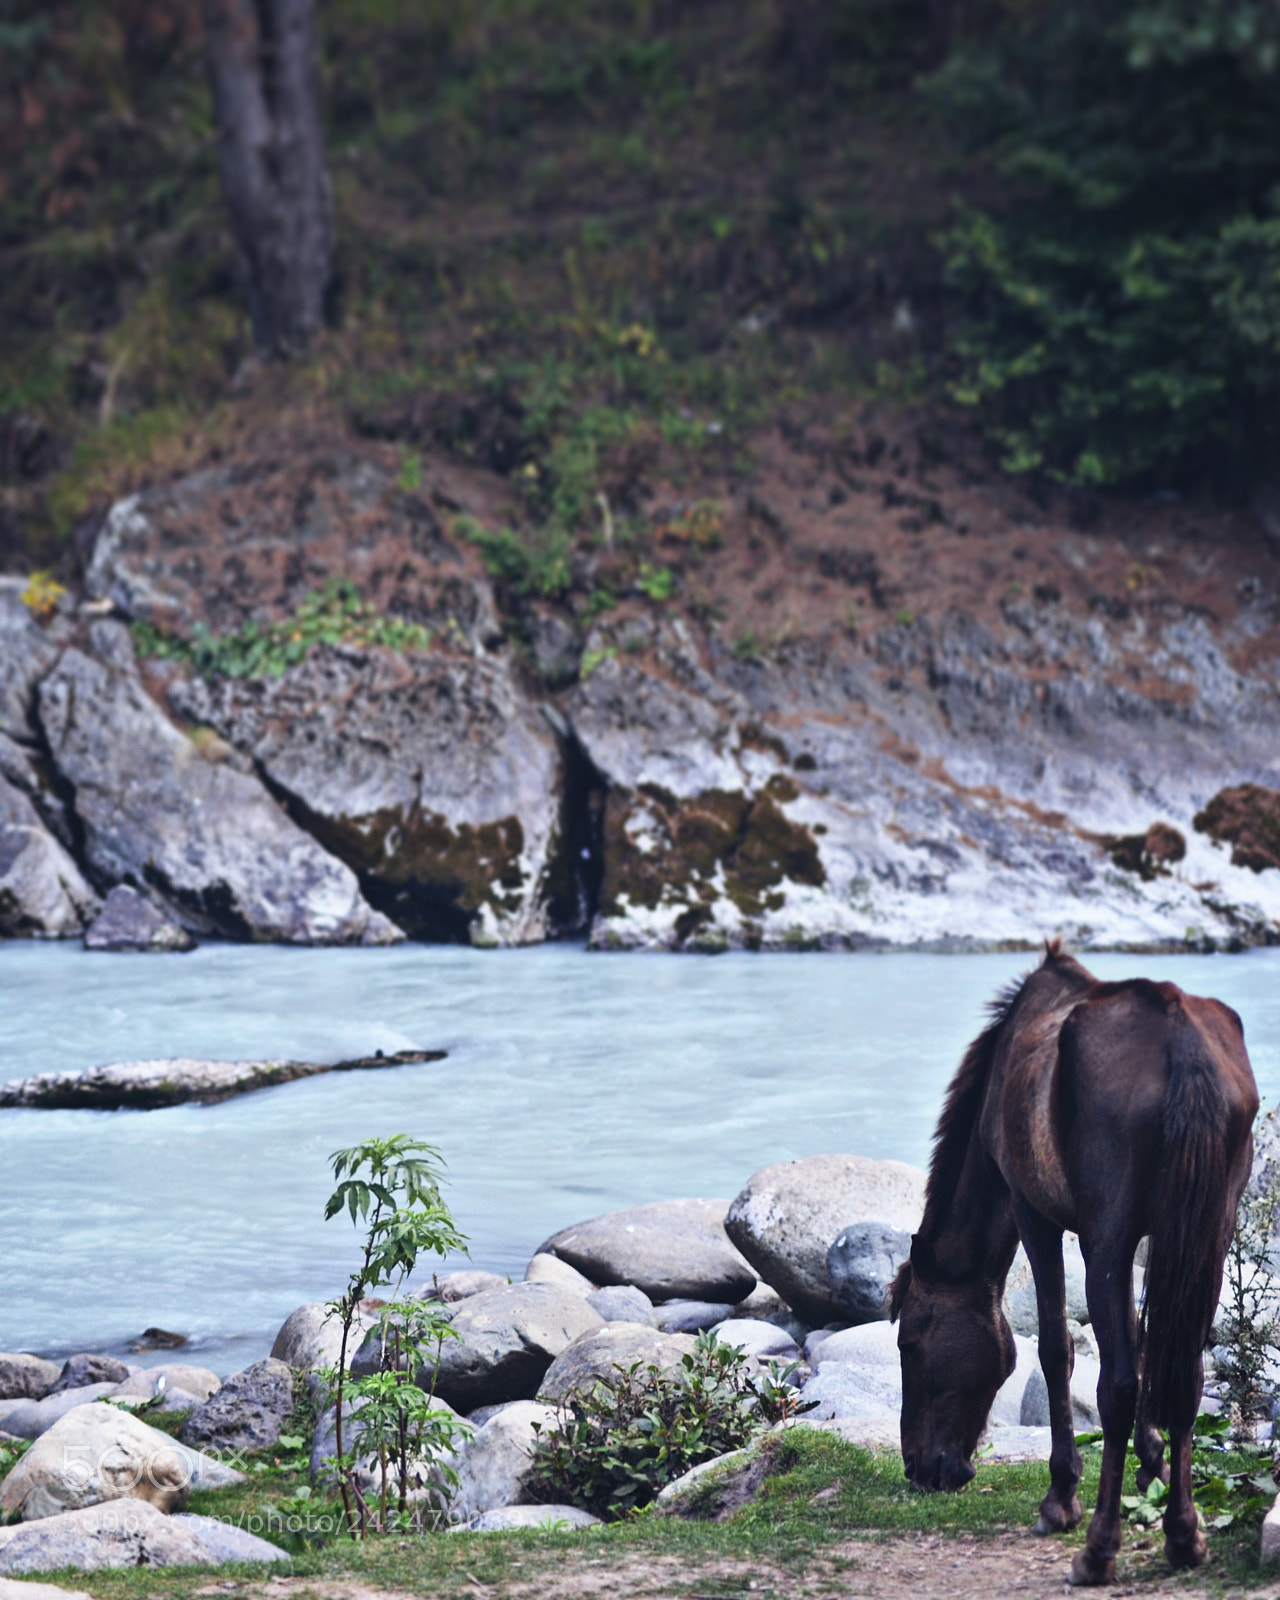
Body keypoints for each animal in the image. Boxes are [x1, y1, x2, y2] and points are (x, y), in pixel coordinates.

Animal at [888, 940, 1257, 1585]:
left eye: (910, 1344)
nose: (918, 1467)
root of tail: (1183, 1044)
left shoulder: (1035, 1214)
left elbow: (1056, 1349)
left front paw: (1061, 1496)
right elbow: (1141, 1338)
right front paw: (1152, 1464)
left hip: (1104, 1239)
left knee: (1117, 1386)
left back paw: (1097, 1548)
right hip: (1209, 1234)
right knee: (1184, 1376)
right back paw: (1184, 1535)